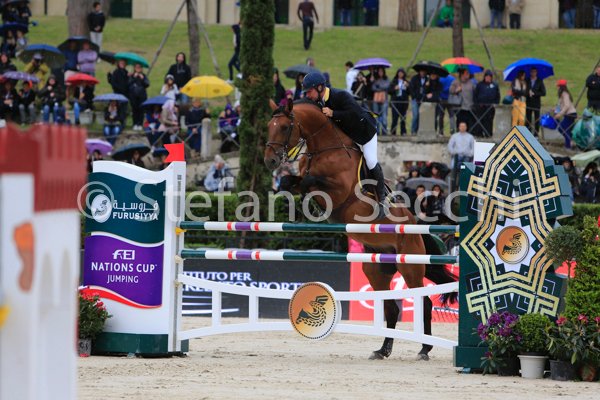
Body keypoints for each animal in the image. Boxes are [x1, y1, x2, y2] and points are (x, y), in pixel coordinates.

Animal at [264, 98, 457, 361]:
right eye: (269, 126)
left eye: (285, 127)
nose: (270, 161)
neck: (324, 148)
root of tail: (416, 226)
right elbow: (291, 181)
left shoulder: (339, 191)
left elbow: (309, 182)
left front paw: (309, 205)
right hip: (375, 268)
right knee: (391, 307)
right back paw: (383, 350)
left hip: (410, 266)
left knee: (424, 302)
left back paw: (424, 349)